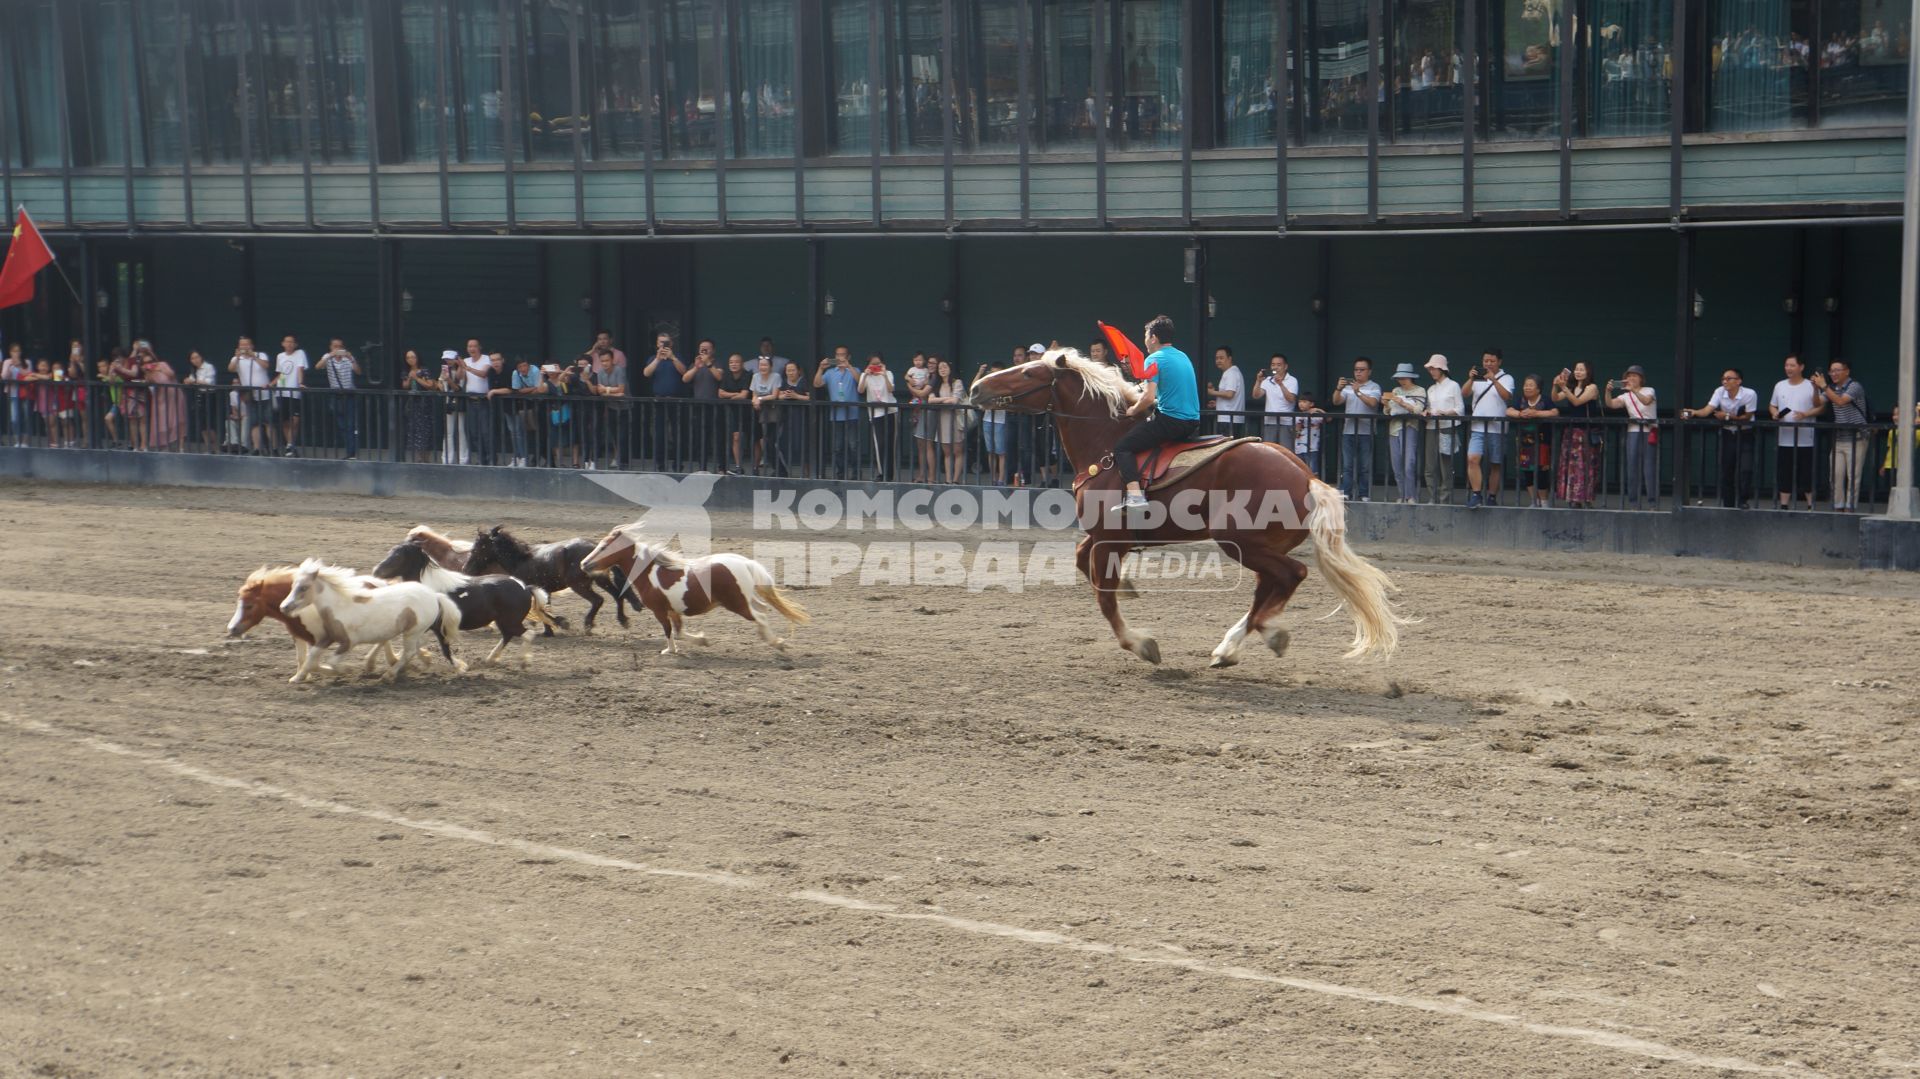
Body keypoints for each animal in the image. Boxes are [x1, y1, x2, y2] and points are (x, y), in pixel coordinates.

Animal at [278, 552, 464, 679]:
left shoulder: (348, 643)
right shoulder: (328, 637)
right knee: (415, 647)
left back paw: (389, 675)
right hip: (415, 632)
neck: (339, 606)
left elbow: (331, 662)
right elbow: (312, 657)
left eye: (303, 588)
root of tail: (434, 595)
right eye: (293, 586)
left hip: (413, 631)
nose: (284, 607)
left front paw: (346, 670)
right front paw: (296, 678)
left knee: (409, 651)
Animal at [370, 537, 560, 664]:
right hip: (504, 622)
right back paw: (491, 659)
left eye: (399, 555)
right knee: (508, 636)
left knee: (526, 635)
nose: (376, 571)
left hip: (510, 621)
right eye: (390, 552)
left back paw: (522, 661)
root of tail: (525, 588)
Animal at [460, 526, 633, 633]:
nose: (465, 569)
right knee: (617, 595)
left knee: (598, 600)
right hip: (600, 580)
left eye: (477, 549)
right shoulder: (545, 591)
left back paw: (588, 625)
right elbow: (545, 608)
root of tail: (595, 546)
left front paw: (561, 623)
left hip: (579, 585)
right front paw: (548, 630)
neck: (520, 560)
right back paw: (623, 620)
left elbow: (540, 609)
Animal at [967, 345, 1405, 664]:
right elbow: (1081, 560)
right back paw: (1235, 645)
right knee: (1270, 586)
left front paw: (1141, 643)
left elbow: (1104, 599)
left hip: (1238, 540)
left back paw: (1263, 634)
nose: (975, 388)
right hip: (1258, 545)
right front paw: (1129, 588)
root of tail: (1308, 478)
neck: (1107, 444)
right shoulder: (1108, 538)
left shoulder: (1108, 540)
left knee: (1291, 575)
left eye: (1028, 373)